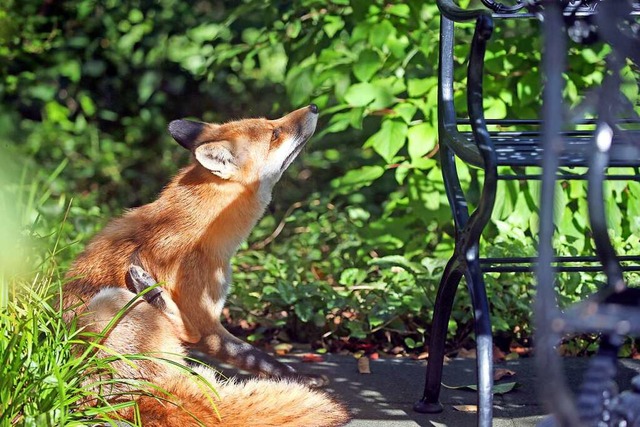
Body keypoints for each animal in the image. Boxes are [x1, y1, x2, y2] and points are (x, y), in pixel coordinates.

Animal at [63, 105, 350, 426]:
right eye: (275, 133)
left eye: (270, 122)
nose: (313, 107)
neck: (202, 228)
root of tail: (123, 400)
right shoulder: (207, 320)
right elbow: (255, 355)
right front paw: (303, 377)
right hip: (109, 303)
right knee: (187, 334)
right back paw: (150, 290)